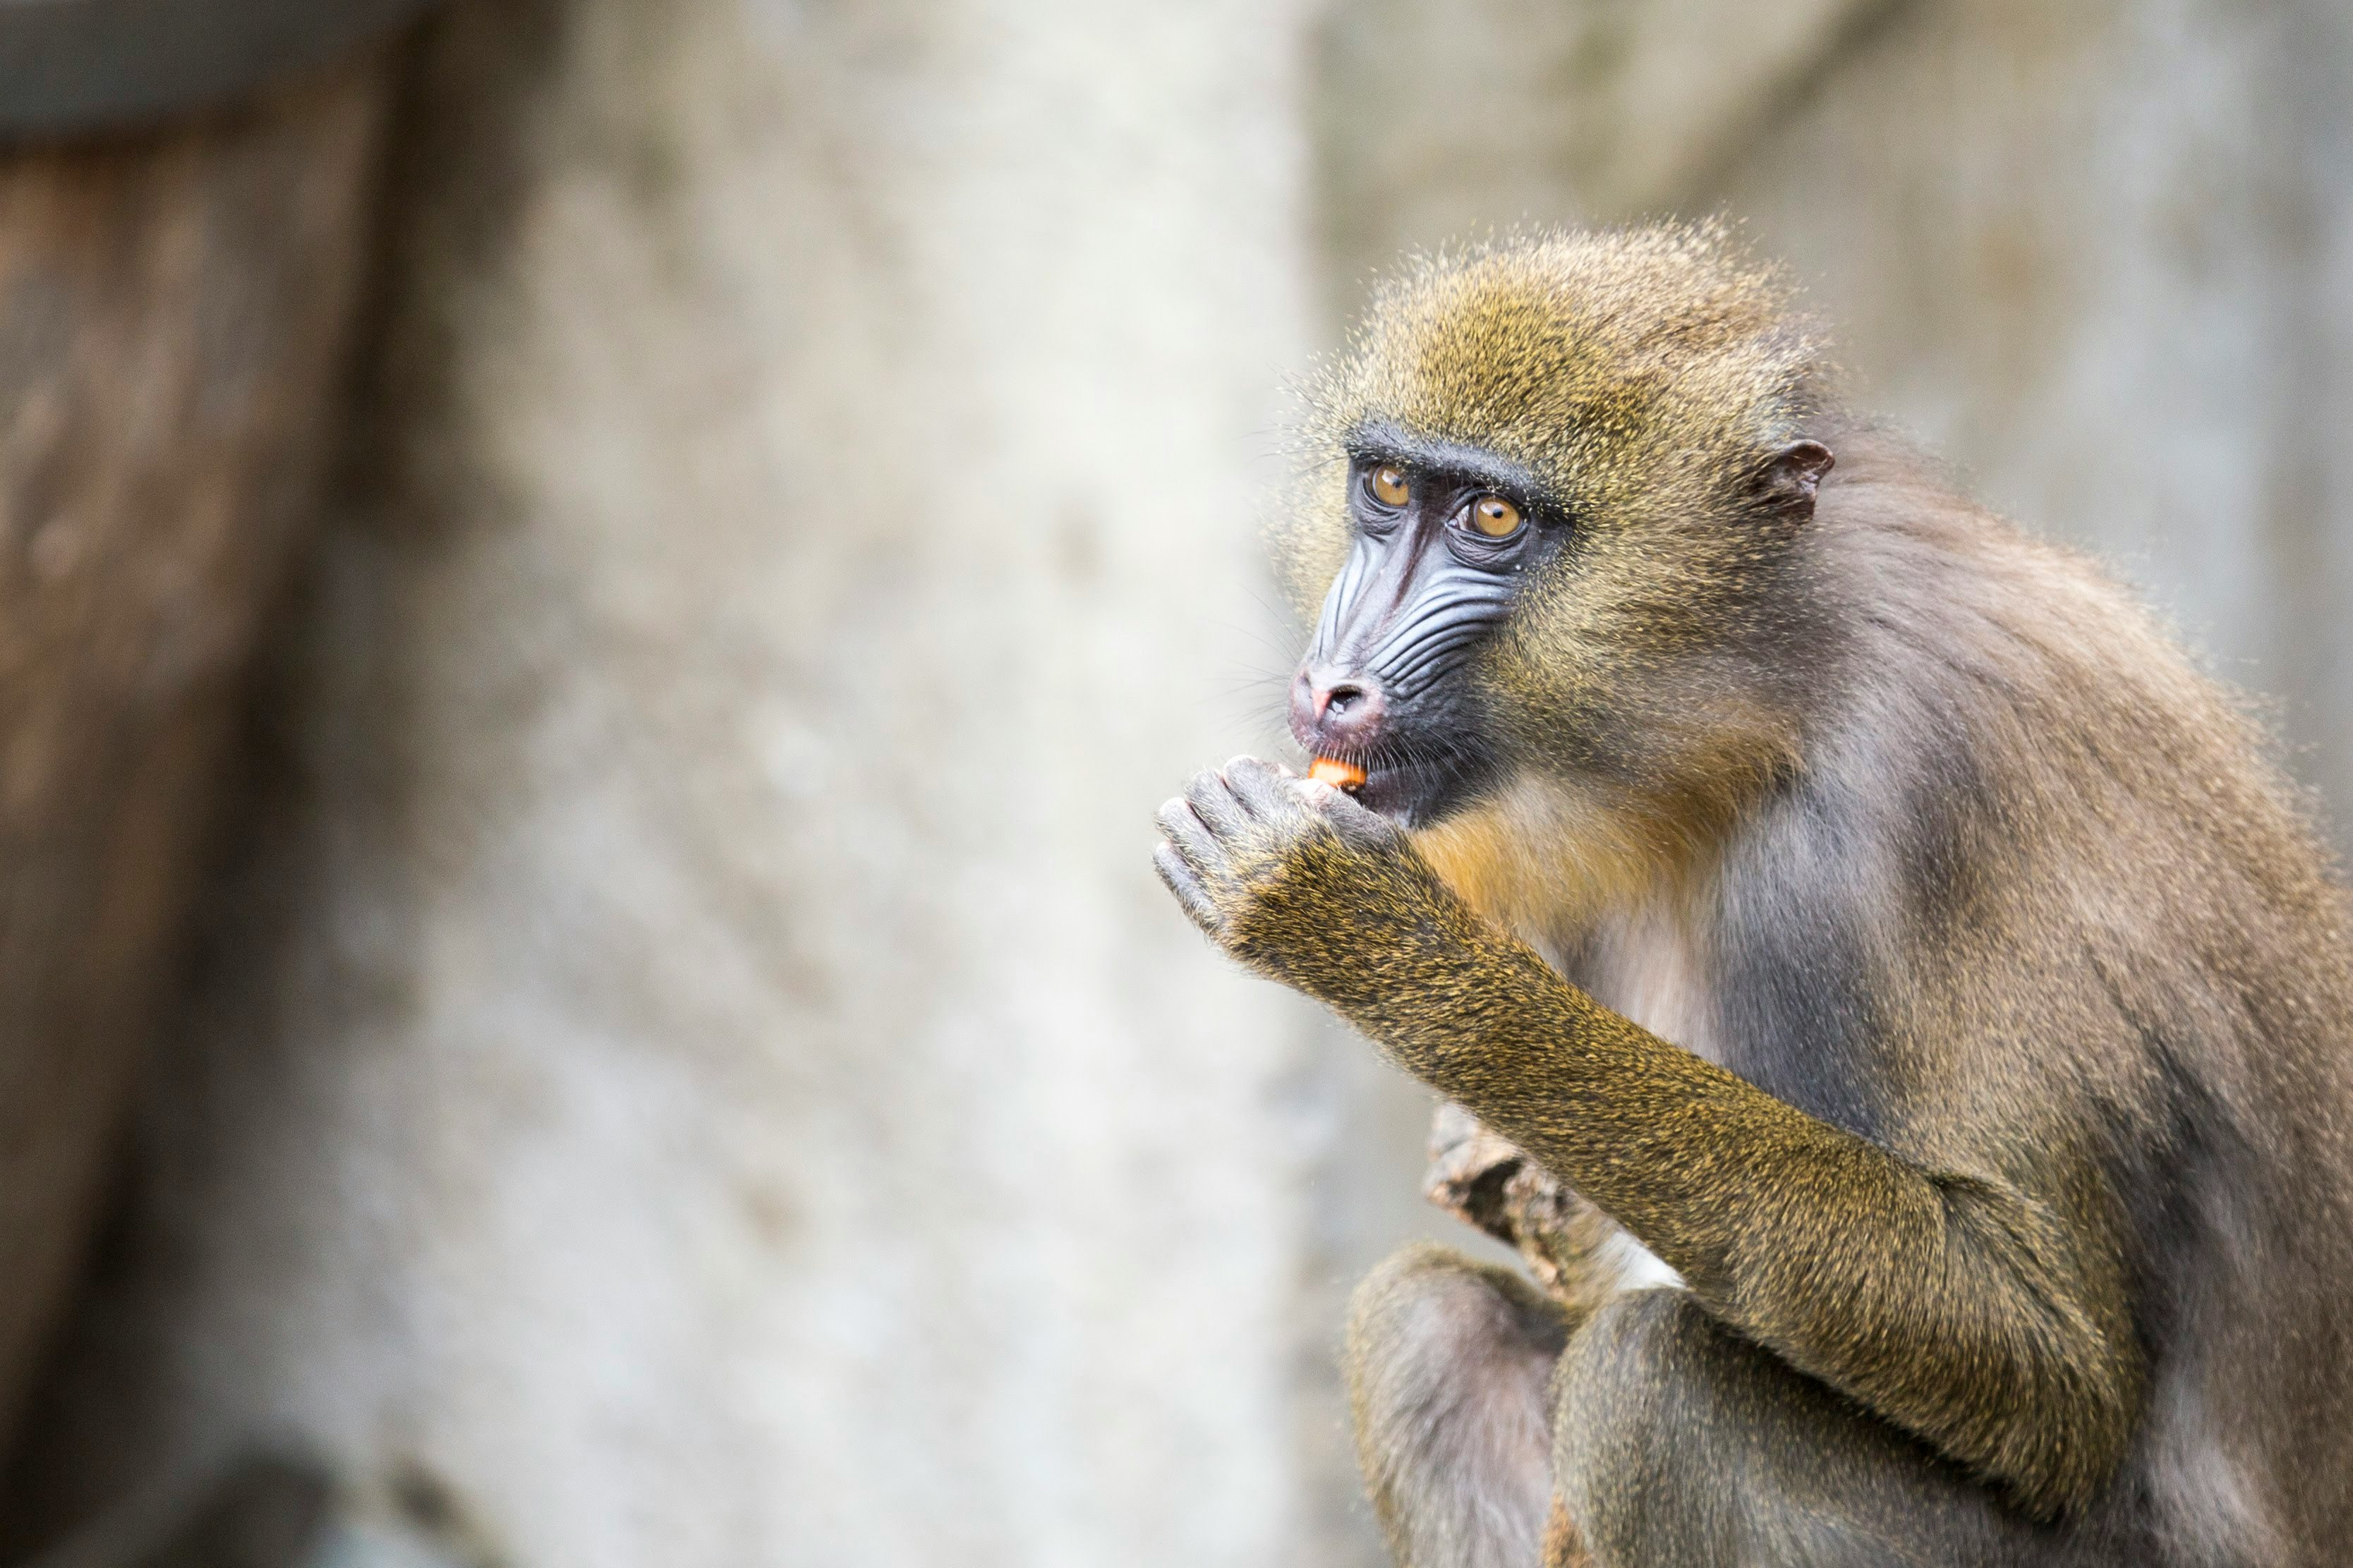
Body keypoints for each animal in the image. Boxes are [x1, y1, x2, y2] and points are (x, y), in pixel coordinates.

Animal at [1148, 223, 2353, 1568]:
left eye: (1495, 517)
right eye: (1391, 491)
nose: (1334, 685)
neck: (1760, 701)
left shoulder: (1900, 812)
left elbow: (2053, 1362)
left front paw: (1383, 944)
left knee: (1650, 1383)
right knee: (1429, 1323)